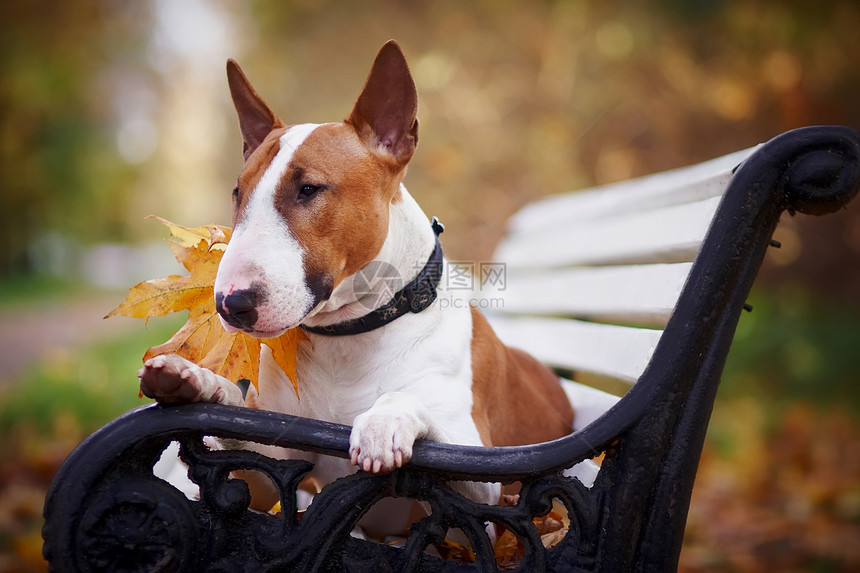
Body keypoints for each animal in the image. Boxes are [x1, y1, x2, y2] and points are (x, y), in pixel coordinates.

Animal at [138, 41, 576, 510]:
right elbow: (241, 453)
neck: (347, 339)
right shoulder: (270, 469)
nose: (229, 304)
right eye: (238, 194)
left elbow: (415, 409)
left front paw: (384, 421)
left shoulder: (483, 476)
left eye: (309, 189)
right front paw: (195, 380)